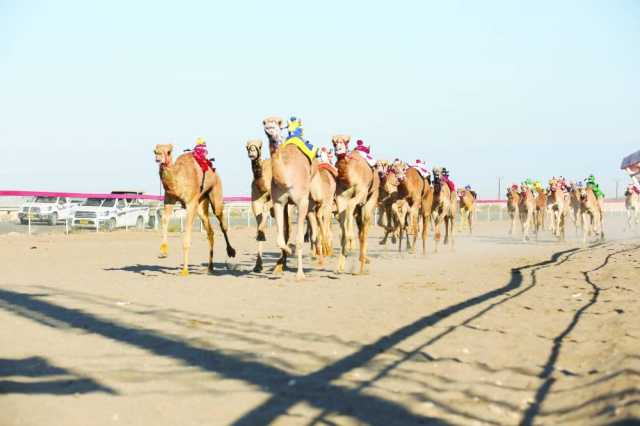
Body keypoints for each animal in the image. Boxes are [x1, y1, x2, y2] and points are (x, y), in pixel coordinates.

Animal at [154, 143, 236, 276]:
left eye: (169, 151)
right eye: (155, 151)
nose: (158, 158)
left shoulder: (191, 202)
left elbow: (187, 234)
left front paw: (185, 270)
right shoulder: (169, 199)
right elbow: (165, 219)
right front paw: (163, 252)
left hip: (215, 192)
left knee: (222, 222)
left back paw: (231, 251)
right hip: (202, 202)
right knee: (210, 231)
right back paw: (210, 268)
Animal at [262, 115, 312, 280]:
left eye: (279, 123)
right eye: (264, 123)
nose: (270, 129)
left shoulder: (302, 202)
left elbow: (300, 239)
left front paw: (300, 275)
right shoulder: (279, 202)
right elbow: (280, 239)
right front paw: (289, 251)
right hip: (288, 206)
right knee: (287, 230)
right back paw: (280, 264)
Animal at [332, 135, 378, 274]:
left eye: (346, 141)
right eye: (333, 142)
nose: (338, 149)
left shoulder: (361, 192)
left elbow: (350, 205)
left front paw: (350, 243)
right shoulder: (340, 197)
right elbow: (342, 225)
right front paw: (340, 266)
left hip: (372, 198)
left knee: (365, 227)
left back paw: (361, 267)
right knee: (360, 227)